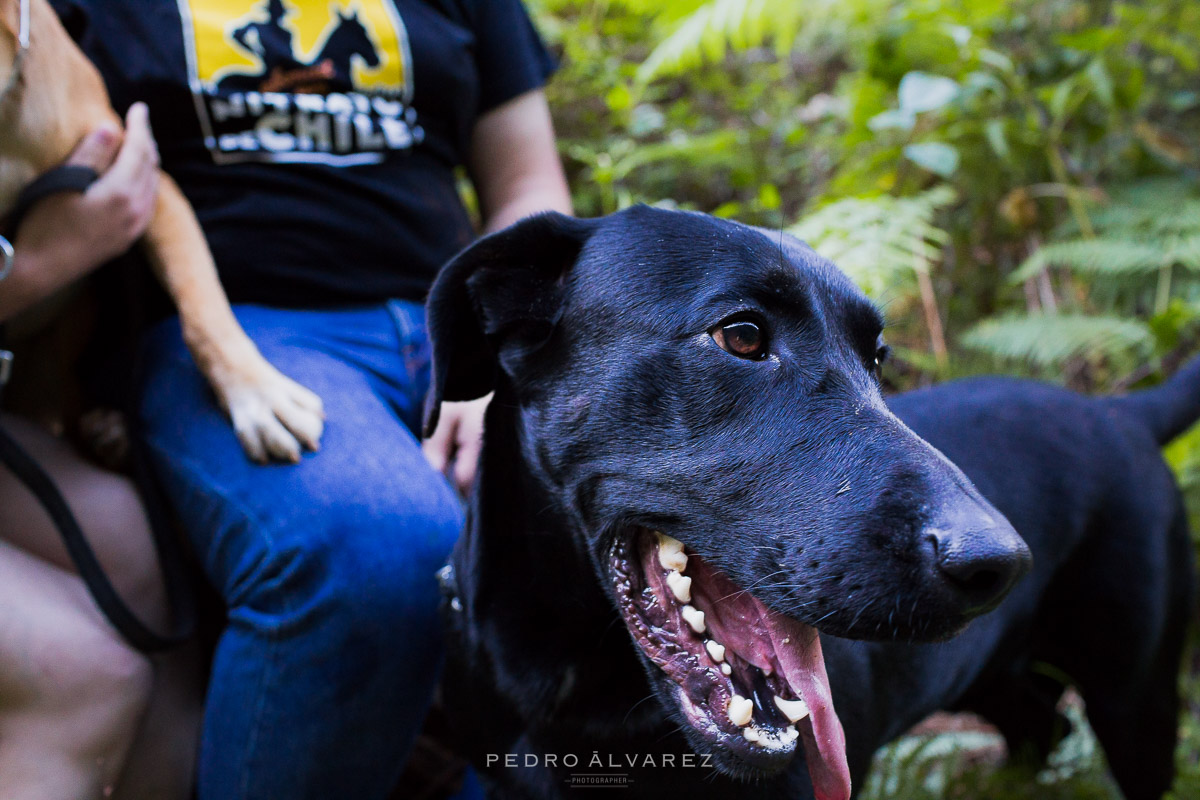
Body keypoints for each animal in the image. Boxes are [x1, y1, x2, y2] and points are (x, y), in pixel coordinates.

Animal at [422, 208, 1190, 800]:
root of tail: (1121, 412)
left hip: (1136, 701)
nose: (997, 564)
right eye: (740, 335)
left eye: (876, 357)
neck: (577, 690)